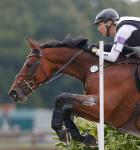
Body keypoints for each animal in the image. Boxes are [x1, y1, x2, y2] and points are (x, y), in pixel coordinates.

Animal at [8, 37, 140, 146]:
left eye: (29, 65)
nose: (13, 92)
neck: (97, 69)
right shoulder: (97, 113)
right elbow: (67, 107)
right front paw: (83, 137)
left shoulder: (104, 107)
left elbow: (62, 97)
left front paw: (62, 131)